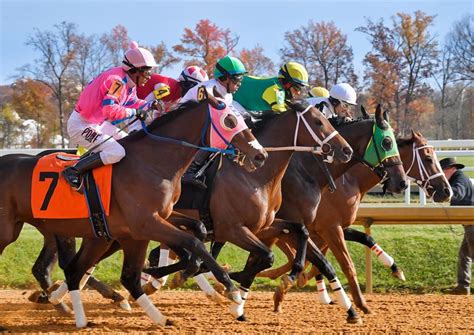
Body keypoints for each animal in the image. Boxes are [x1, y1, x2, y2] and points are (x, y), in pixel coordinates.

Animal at [0, 98, 266, 330]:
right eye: (230, 120)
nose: (260, 155)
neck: (151, 162)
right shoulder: (146, 223)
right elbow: (193, 242)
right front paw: (230, 289)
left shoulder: (158, 218)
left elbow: (197, 232)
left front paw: (189, 271)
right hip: (14, 232)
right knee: (74, 269)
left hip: (96, 235)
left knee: (81, 271)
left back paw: (88, 318)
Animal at [260, 129, 452, 316]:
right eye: (428, 158)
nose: (446, 190)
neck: (349, 181)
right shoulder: (328, 227)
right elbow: (332, 261)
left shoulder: (332, 228)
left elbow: (364, 239)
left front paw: (395, 268)